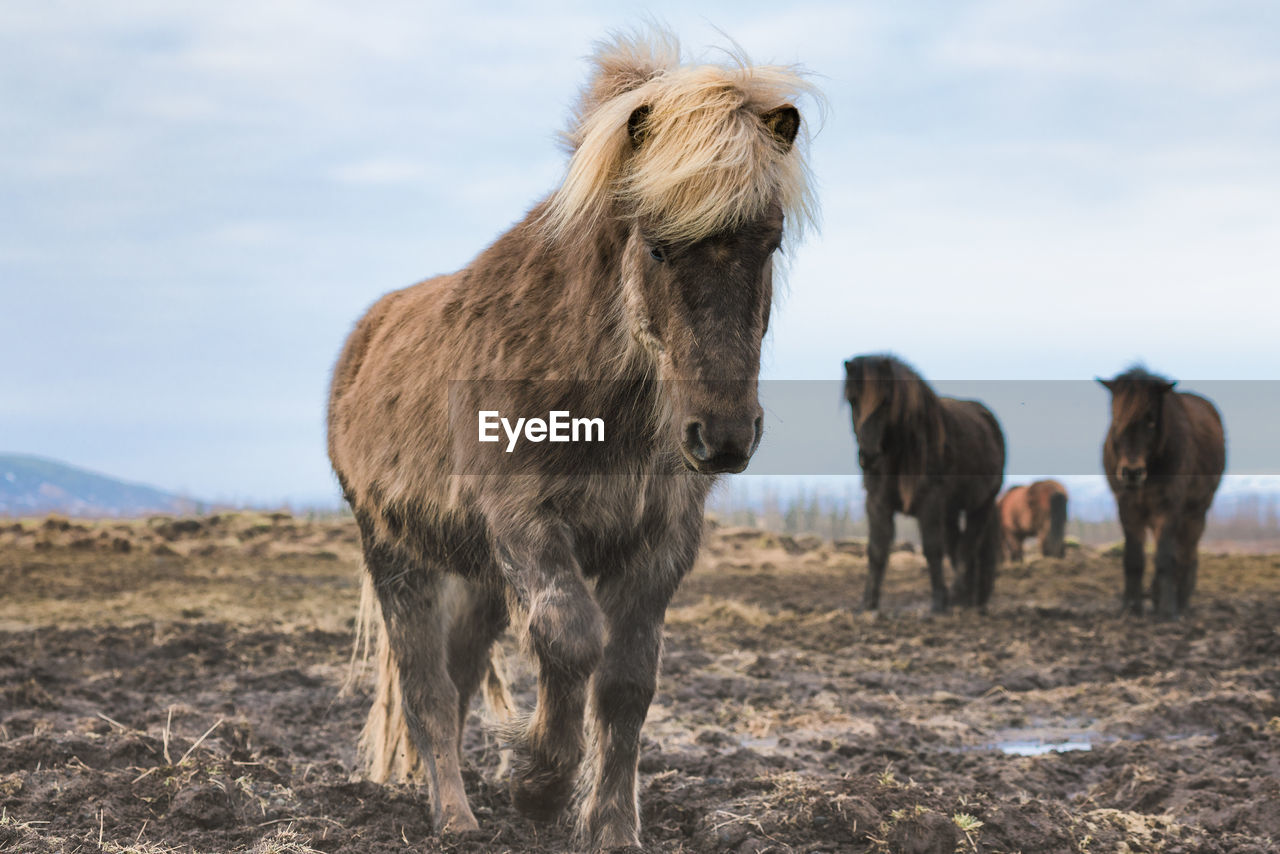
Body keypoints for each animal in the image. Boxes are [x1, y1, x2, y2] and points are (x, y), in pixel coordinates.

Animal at [325, 31, 814, 850]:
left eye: (769, 243)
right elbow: (570, 638)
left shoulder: (660, 544)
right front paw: (537, 786)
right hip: (398, 555)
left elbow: (626, 682)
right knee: (427, 687)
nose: (722, 438)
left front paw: (611, 827)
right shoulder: (526, 524)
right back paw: (455, 818)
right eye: (657, 246)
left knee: (459, 679)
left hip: (476, 578)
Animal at [844, 353, 1003, 614]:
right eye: (851, 400)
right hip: (951, 511)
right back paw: (965, 598)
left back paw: (961, 595)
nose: (869, 457)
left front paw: (938, 603)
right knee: (957, 545)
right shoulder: (877, 503)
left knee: (968, 545)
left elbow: (932, 549)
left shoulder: (930, 502)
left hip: (981, 505)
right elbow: (877, 550)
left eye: (886, 401)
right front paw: (867, 604)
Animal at [1095, 363, 1223, 617]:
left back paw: (1180, 599)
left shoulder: (1169, 506)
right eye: (1116, 419)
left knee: (1187, 551)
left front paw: (1166, 609)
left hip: (1197, 511)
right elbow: (1133, 557)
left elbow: (1165, 556)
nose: (1131, 472)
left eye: (1151, 420)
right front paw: (1131, 607)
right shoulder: (1128, 507)